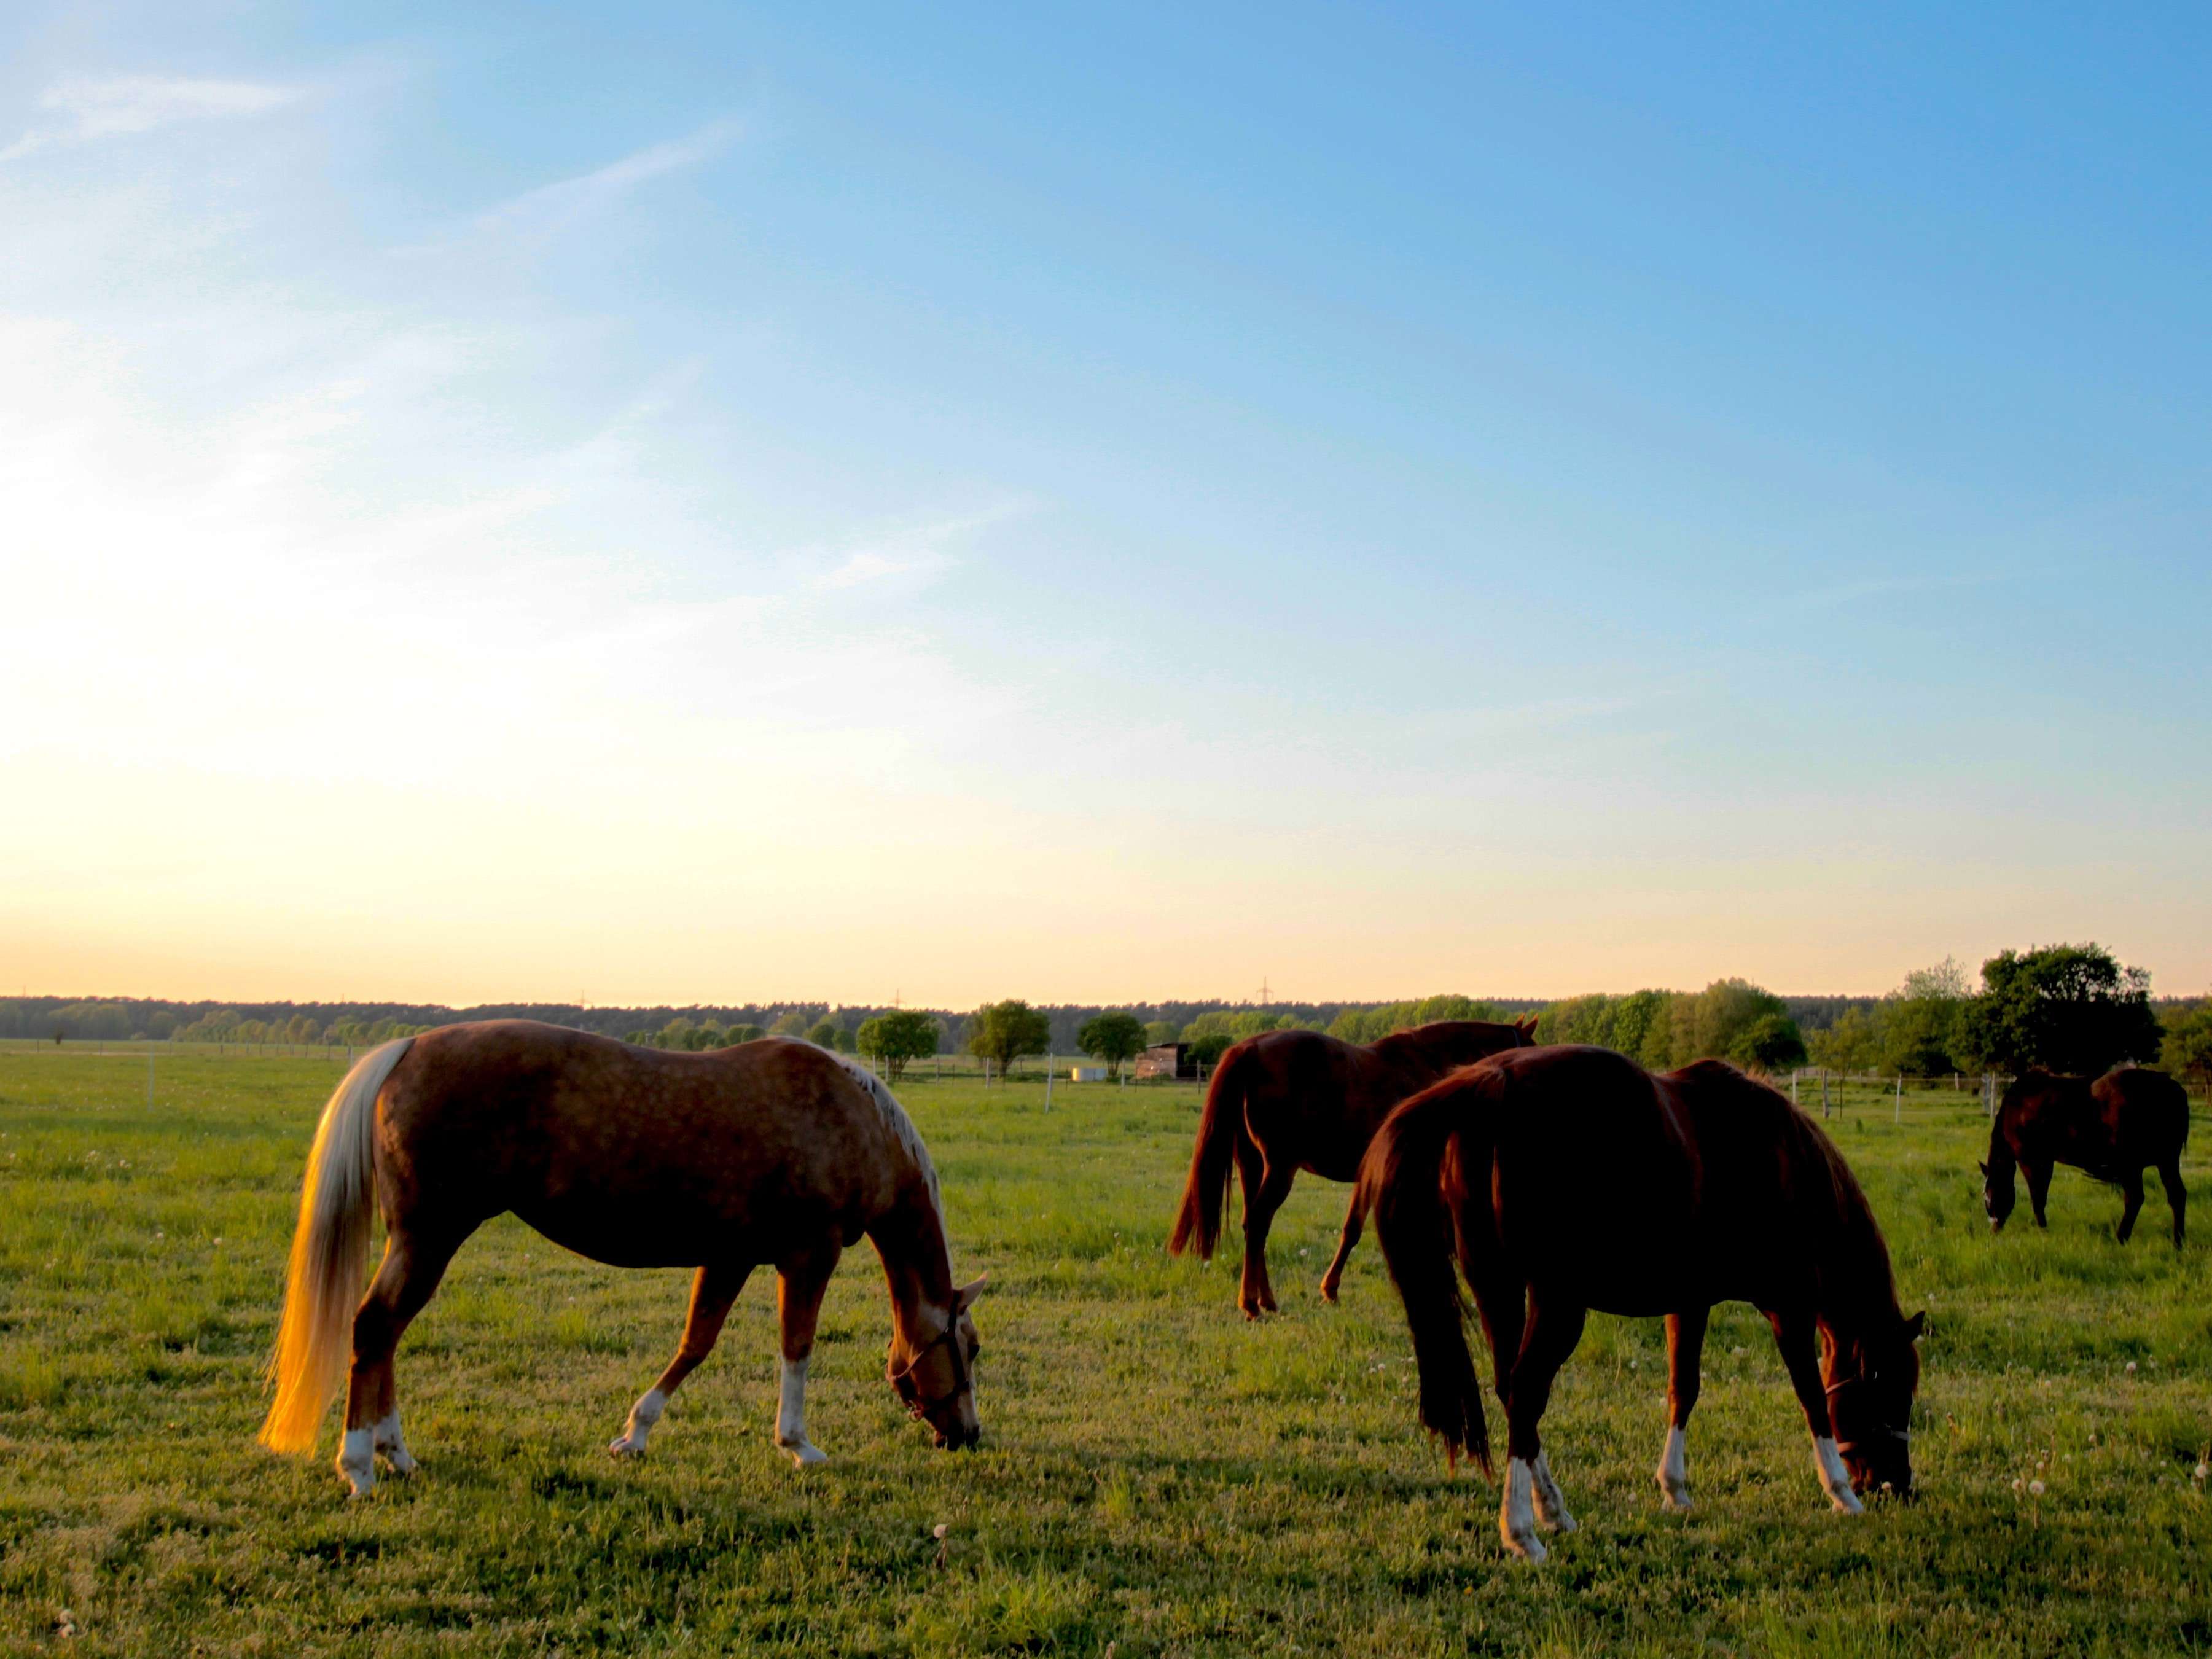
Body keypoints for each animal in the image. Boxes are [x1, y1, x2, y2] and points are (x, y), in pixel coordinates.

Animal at [259, 1021, 985, 1498]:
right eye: (971, 1347)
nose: (969, 1435)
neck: (851, 1120)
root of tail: (406, 1049)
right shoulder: (809, 1254)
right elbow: (796, 1351)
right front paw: (799, 1444)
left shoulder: (730, 1256)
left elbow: (695, 1344)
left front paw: (635, 1433)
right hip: (428, 1237)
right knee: (374, 1328)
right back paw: (359, 1465)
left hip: (419, 1241)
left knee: (383, 1337)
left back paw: (396, 1455)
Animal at [1166, 1018, 1536, 1316]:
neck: (1429, 1067)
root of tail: (1250, 1049)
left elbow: (1351, 1229)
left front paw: (1330, 1289)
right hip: (1280, 1168)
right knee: (1258, 1223)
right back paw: (1251, 1303)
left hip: (1252, 1164)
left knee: (1252, 1226)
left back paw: (1264, 1299)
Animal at [1356, 1045, 1923, 1563]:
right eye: (1893, 1386)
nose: (1897, 1485)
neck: (1785, 1161)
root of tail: (1491, 1085)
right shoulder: (1789, 1306)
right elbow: (1811, 1397)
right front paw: (1841, 1493)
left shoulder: (1690, 1301)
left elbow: (1683, 1389)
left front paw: (1674, 1488)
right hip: (1557, 1302)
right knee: (1526, 1391)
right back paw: (1521, 1531)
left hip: (1499, 1287)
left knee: (1512, 1392)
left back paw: (1553, 1510)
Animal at [1981, 1067, 2189, 1246]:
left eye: (1989, 1196)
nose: (1994, 1228)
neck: (2018, 1106)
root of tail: (2174, 1089)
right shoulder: (2046, 1161)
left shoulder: (2031, 1160)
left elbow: (2038, 1198)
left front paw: (2043, 1231)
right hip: (2166, 1161)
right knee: (2176, 1196)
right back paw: (2178, 1242)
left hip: (2132, 1165)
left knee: (2135, 1198)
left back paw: (2121, 1237)